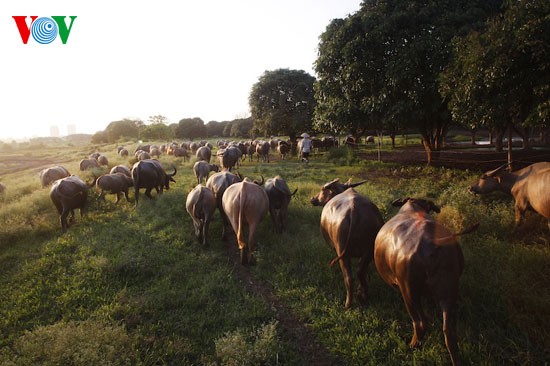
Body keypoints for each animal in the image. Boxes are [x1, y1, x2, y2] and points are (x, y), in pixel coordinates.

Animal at [312, 179, 386, 310]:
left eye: (322, 189)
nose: (312, 199)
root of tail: (354, 210)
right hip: (369, 251)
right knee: (360, 271)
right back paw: (363, 294)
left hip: (343, 252)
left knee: (349, 277)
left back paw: (348, 304)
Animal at [376, 199, 478, 366]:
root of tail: (433, 242)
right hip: (449, 294)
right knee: (449, 332)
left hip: (409, 293)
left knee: (420, 323)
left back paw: (412, 345)